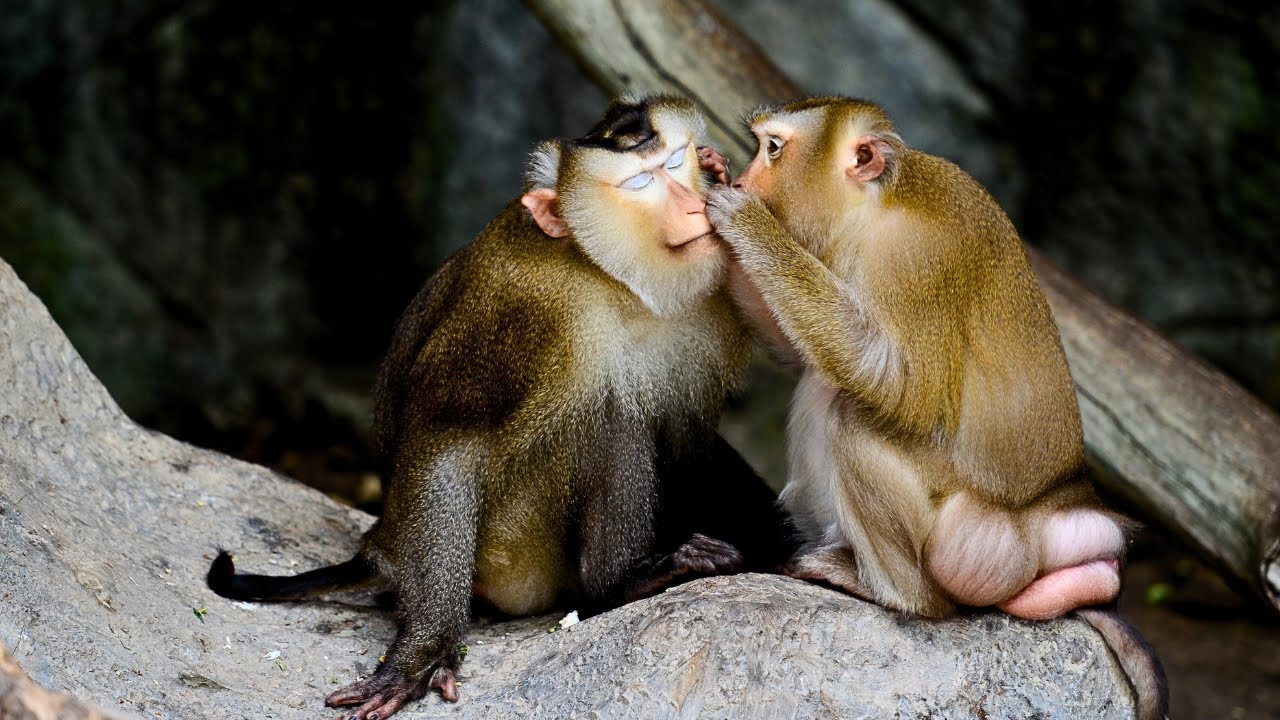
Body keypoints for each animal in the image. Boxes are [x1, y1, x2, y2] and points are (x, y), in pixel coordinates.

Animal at [206, 96, 793, 720]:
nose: (692, 203)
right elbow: (447, 444)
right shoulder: (526, 316)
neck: (611, 278)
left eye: (677, 161)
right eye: (639, 183)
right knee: (609, 416)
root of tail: (381, 545)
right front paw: (422, 651)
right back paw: (619, 583)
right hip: (510, 555)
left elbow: (689, 440)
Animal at [703, 96, 1168, 720]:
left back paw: (900, 596)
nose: (744, 179)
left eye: (773, 149)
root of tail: (1056, 510)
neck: (872, 209)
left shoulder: (914, 259)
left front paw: (746, 224)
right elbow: (803, 359)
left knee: (851, 417)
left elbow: (900, 386)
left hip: (968, 526)